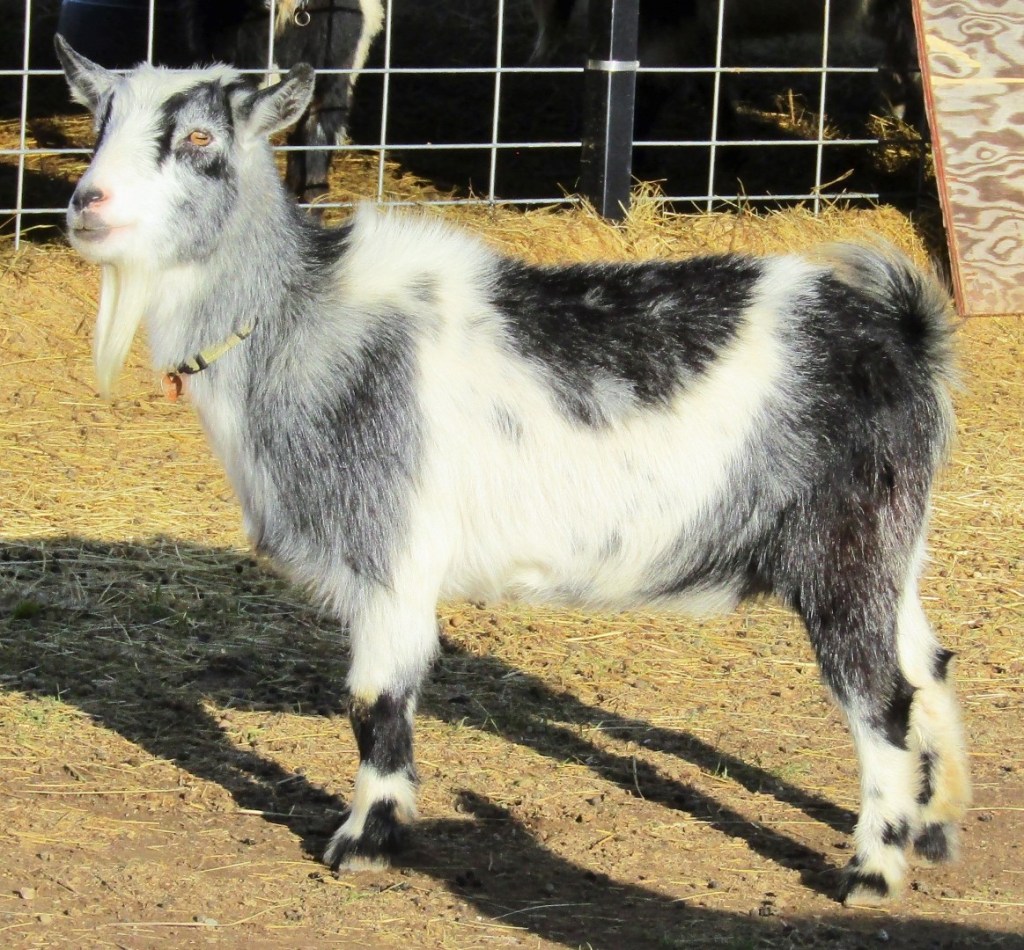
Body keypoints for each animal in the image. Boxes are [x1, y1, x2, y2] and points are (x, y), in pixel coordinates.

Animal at [55, 34, 969, 907]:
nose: (86, 204)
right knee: (927, 665)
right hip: (895, 547)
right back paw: (936, 827)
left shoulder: (393, 550)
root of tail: (905, 337)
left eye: (200, 137)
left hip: (843, 549)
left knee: (881, 699)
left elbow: (374, 700)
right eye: (100, 122)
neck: (299, 318)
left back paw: (873, 870)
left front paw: (365, 841)